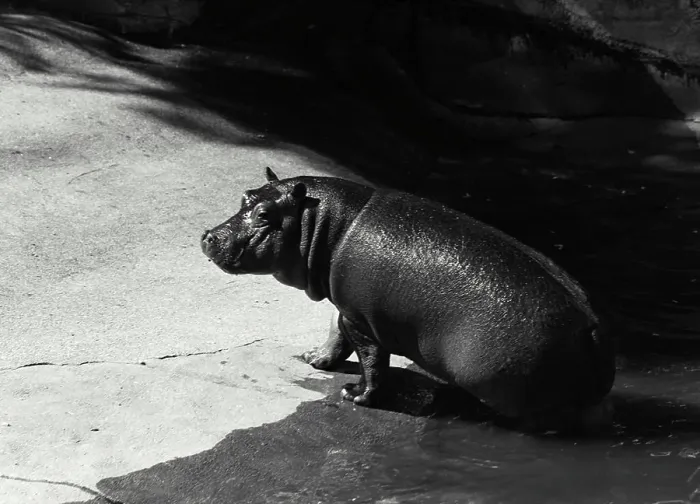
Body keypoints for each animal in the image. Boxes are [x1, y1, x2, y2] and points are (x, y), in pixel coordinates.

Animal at [201, 167, 616, 430]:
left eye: (264, 214)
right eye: (246, 196)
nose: (208, 236)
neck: (328, 222)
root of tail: (590, 327)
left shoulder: (360, 319)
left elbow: (371, 361)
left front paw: (356, 395)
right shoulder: (343, 306)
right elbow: (334, 336)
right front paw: (313, 359)